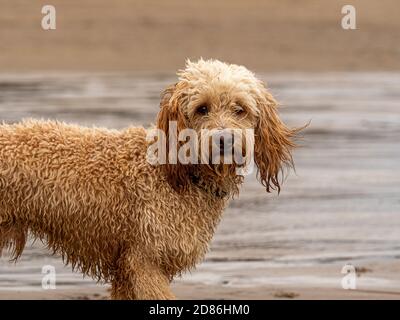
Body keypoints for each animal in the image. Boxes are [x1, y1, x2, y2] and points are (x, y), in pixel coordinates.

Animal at [0, 59, 298, 300]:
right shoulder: (145, 261)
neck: (178, 172)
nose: (224, 140)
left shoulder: (126, 268)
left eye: (240, 109)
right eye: (202, 109)